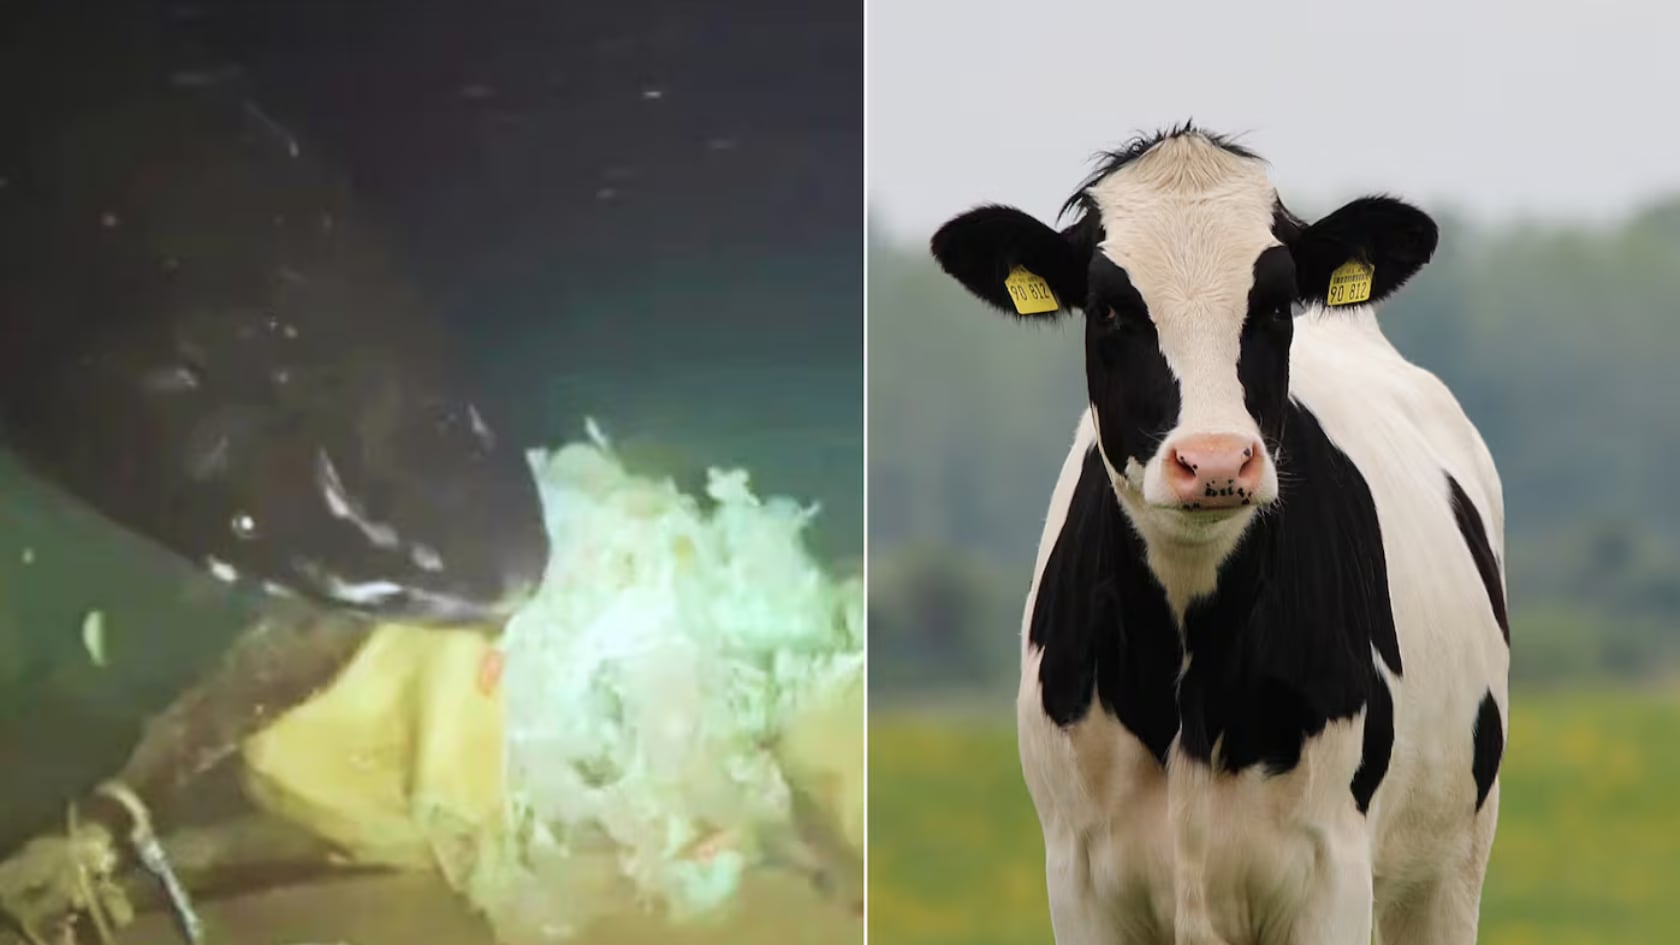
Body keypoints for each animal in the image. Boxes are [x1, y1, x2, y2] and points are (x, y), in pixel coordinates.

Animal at [927, 124, 1510, 945]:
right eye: (1109, 309)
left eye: (1275, 305)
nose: (1213, 460)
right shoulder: (1078, 878)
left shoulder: (1332, 875)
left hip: (1450, 868)